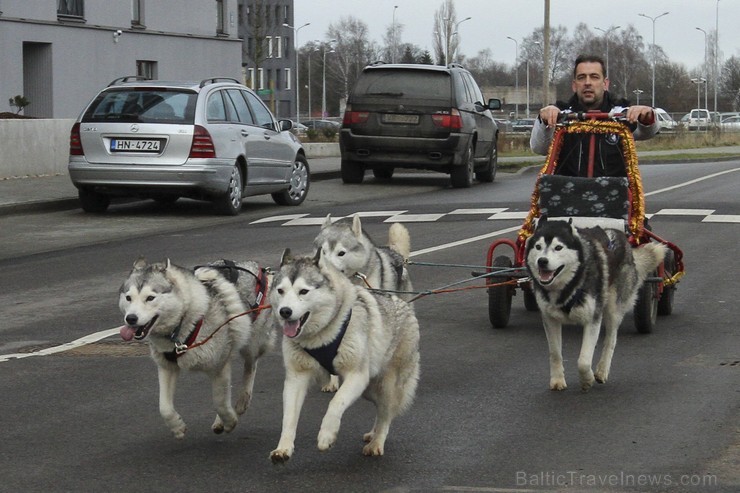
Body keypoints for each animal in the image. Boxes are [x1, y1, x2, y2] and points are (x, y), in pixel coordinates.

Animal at [118, 258, 274, 438]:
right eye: (128, 298)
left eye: (150, 298)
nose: (131, 318)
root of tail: (257, 267)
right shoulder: (167, 366)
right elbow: (164, 407)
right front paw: (177, 427)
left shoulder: (219, 366)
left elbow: (220, 402)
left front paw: (229, 421)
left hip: (250, 343)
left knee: (251, 366)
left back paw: (242, 401)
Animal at [268, 250, 420, 462]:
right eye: (280, 291)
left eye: (303, 291)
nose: (285, 312)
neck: (322, 335)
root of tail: (403, 304)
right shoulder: (296, 378)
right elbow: (289, 416)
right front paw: (283, 448)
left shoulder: (357, 376)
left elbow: (336, 402)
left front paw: (326, 436)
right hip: (369, 390)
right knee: (380, 410)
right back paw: (372, 433)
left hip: (386, 385)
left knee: (386, 414)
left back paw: (376, 442)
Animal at [524, 219, 668, 392]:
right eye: (538, 247)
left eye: (558, 247)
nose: (542, 261)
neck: (569, 286)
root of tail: (621, 235)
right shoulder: (550, 319)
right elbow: (555, 353)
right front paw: (557, 380)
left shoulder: (592, 319)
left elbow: (584, 361)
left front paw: (587, 379)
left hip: (613, 308)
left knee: (611, 340)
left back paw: (601, 370)